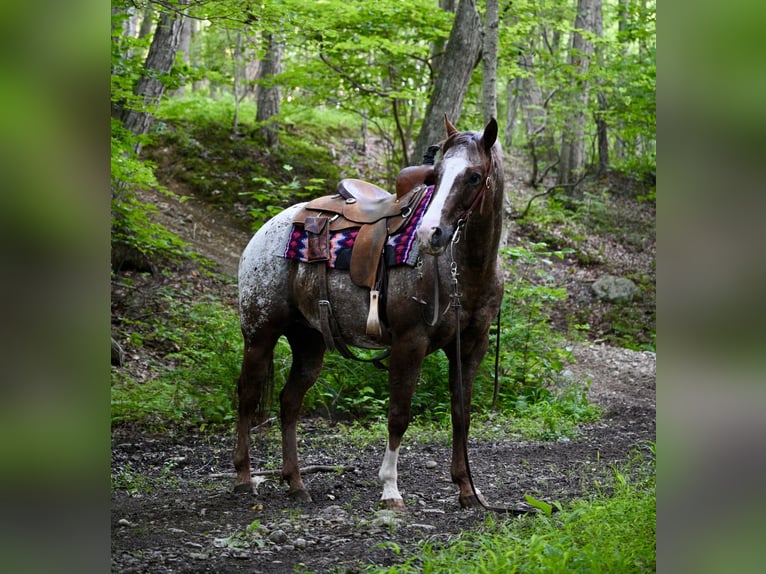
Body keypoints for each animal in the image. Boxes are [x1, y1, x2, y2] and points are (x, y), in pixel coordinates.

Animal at [234, 116, 505, 510]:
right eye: (437, 175)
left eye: (473, 176)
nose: (431, 234)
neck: (463, 270)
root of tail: (267, 230)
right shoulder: (410, 343)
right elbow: (398, 415)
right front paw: (390, 488)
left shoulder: (471, 347)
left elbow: (461, 414)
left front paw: (468, 489)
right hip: (260, 335)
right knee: (248, 395)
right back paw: (243, 477)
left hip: (309, 341)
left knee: (289, 403)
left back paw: (296, 482)